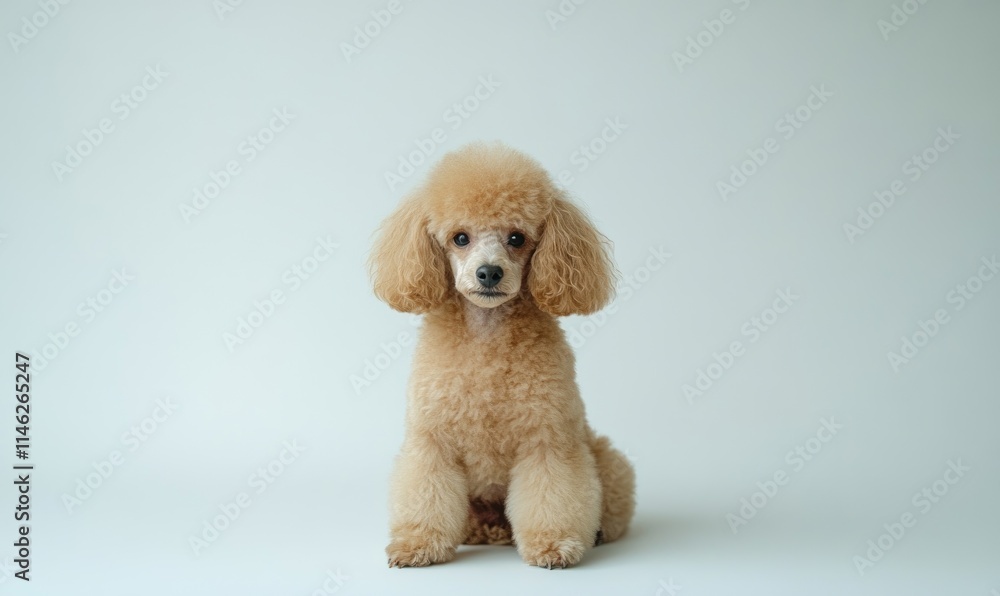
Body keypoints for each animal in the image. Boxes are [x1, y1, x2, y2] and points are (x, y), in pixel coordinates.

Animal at [368, 141, 636, 569]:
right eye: (460, 238)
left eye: (517, 237)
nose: (489, 273)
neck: (487, 337)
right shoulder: (432, 441)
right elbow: (425, 493)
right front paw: (418, 544)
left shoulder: (547, 439)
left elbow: (552, 494)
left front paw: (553, 544)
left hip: (606, 459)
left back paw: (594, 532)